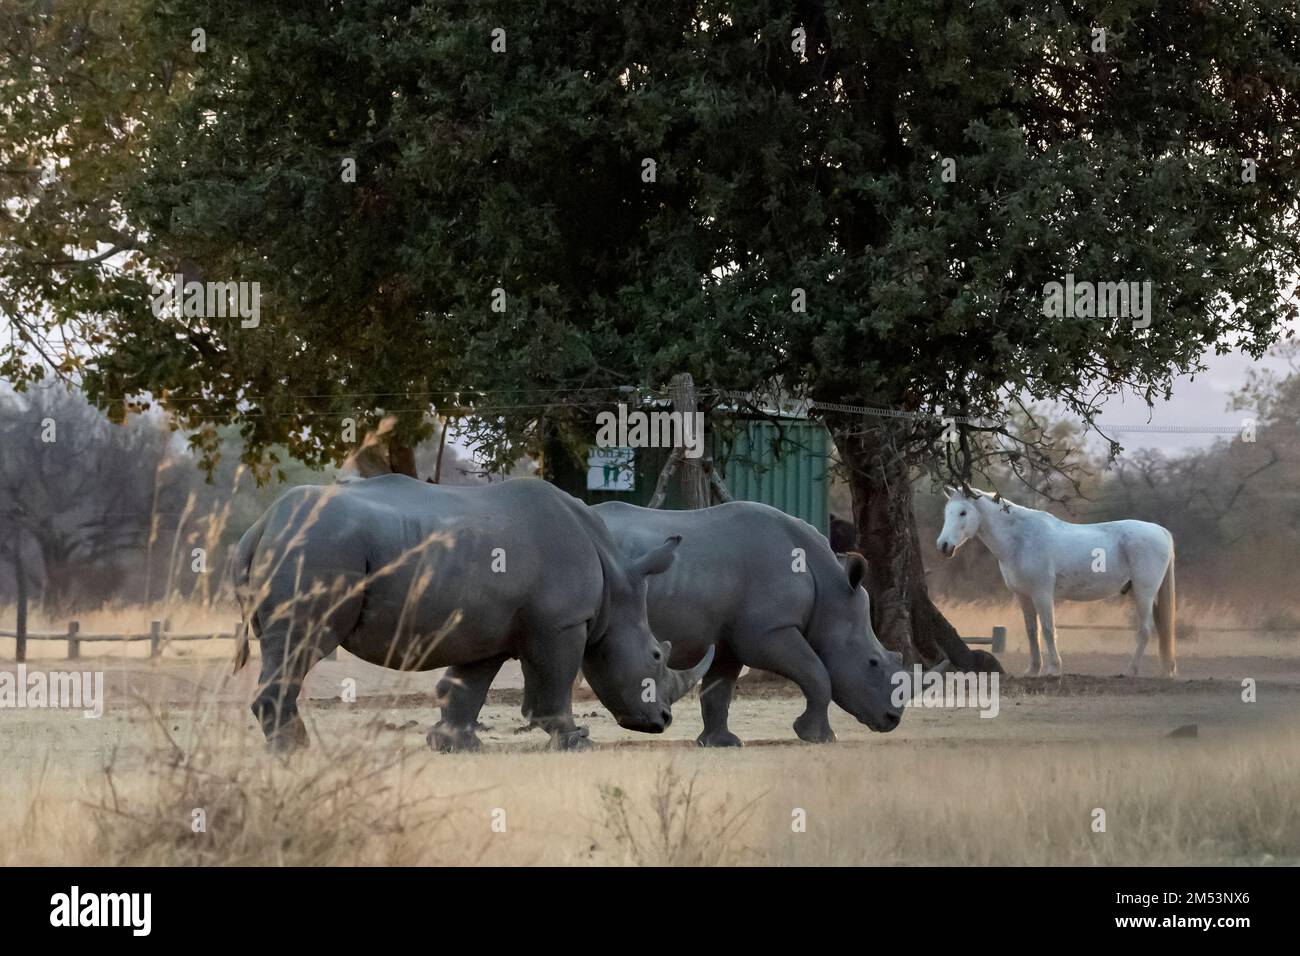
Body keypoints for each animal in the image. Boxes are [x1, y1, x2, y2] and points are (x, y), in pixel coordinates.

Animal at [935, 486, 1180, 681]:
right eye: (947, 513)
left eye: (963, 512)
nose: (943, 545)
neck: (1021, 540)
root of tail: (1160, 530)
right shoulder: (1024, 596)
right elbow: (1031, 630)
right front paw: (1033, 669)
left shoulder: (1042, 593)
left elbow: (1047, 629)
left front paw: (1054, 668)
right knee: (1160, 629)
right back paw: (1165, 670)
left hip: (1143, 593)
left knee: (1145, 631)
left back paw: (1130, 671)